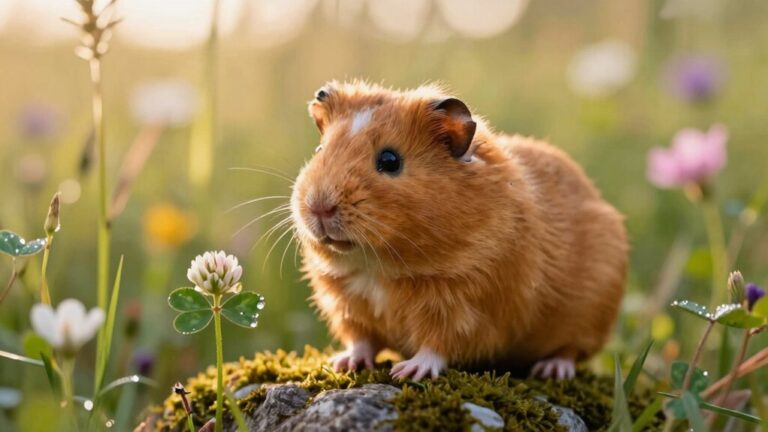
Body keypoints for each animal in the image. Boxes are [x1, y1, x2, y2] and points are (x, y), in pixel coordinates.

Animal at [290, 81, 627, 381]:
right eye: (320, 149)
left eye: (389, 160)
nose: (319, 207)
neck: (377, 268)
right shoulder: (346, 305)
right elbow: (361, 341)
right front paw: (342, 364)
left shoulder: (465, 305)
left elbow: (437, 346)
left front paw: (408, 372)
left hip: (589, 315)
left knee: (570, 350)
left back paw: (552, 371)